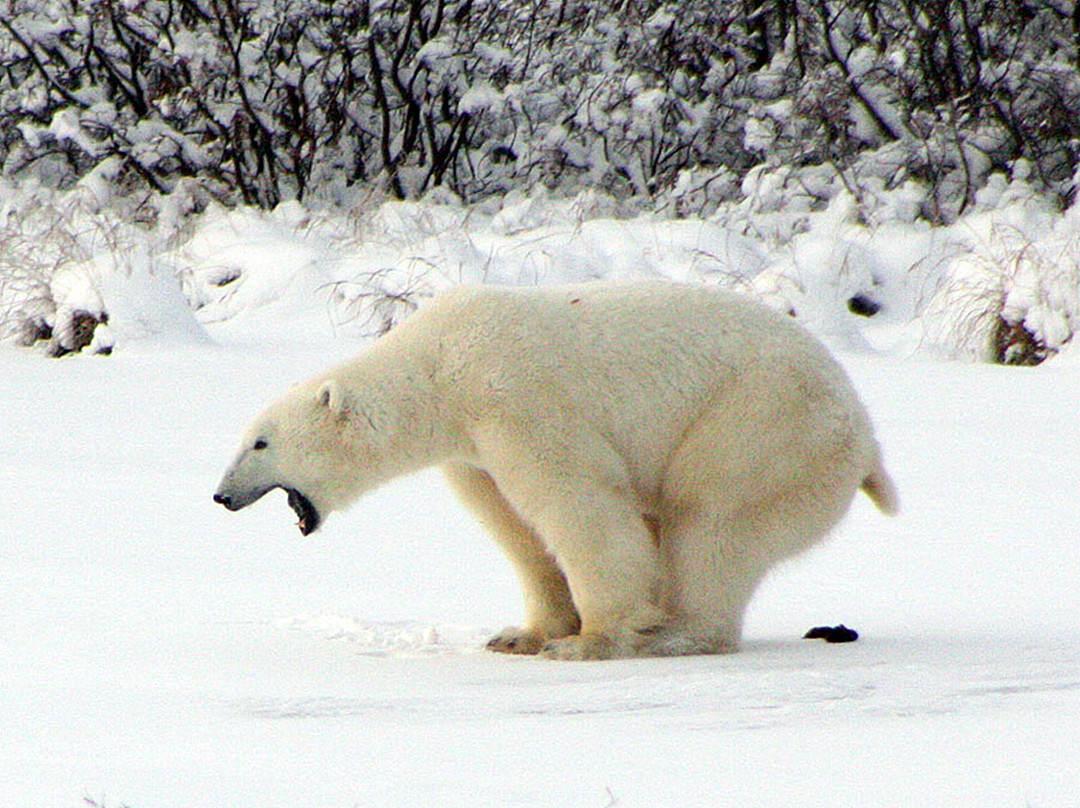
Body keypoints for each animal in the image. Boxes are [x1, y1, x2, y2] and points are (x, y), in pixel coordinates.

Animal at [210, 280, 894, 661]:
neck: (438, 366)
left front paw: (590, 640)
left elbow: (578, 503)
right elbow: (515, 527)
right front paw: (520, 634)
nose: (220, 496)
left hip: (764, 423)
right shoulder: (472, 450)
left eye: (260, 443)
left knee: (711, 521)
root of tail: (865, 437)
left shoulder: (515, 396)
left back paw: (674, 633)